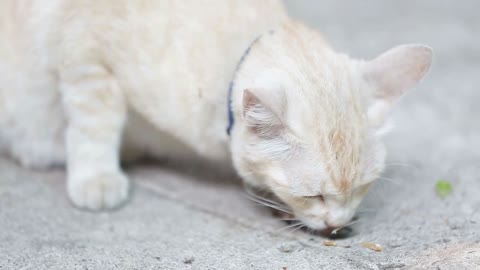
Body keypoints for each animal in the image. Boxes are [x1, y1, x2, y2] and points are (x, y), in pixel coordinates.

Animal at [0, 0, 432, 232]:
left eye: (361, 189)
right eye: (313, 196)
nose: (337, 226)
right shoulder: (85, 53)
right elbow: (94, 124)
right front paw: (97, 178)